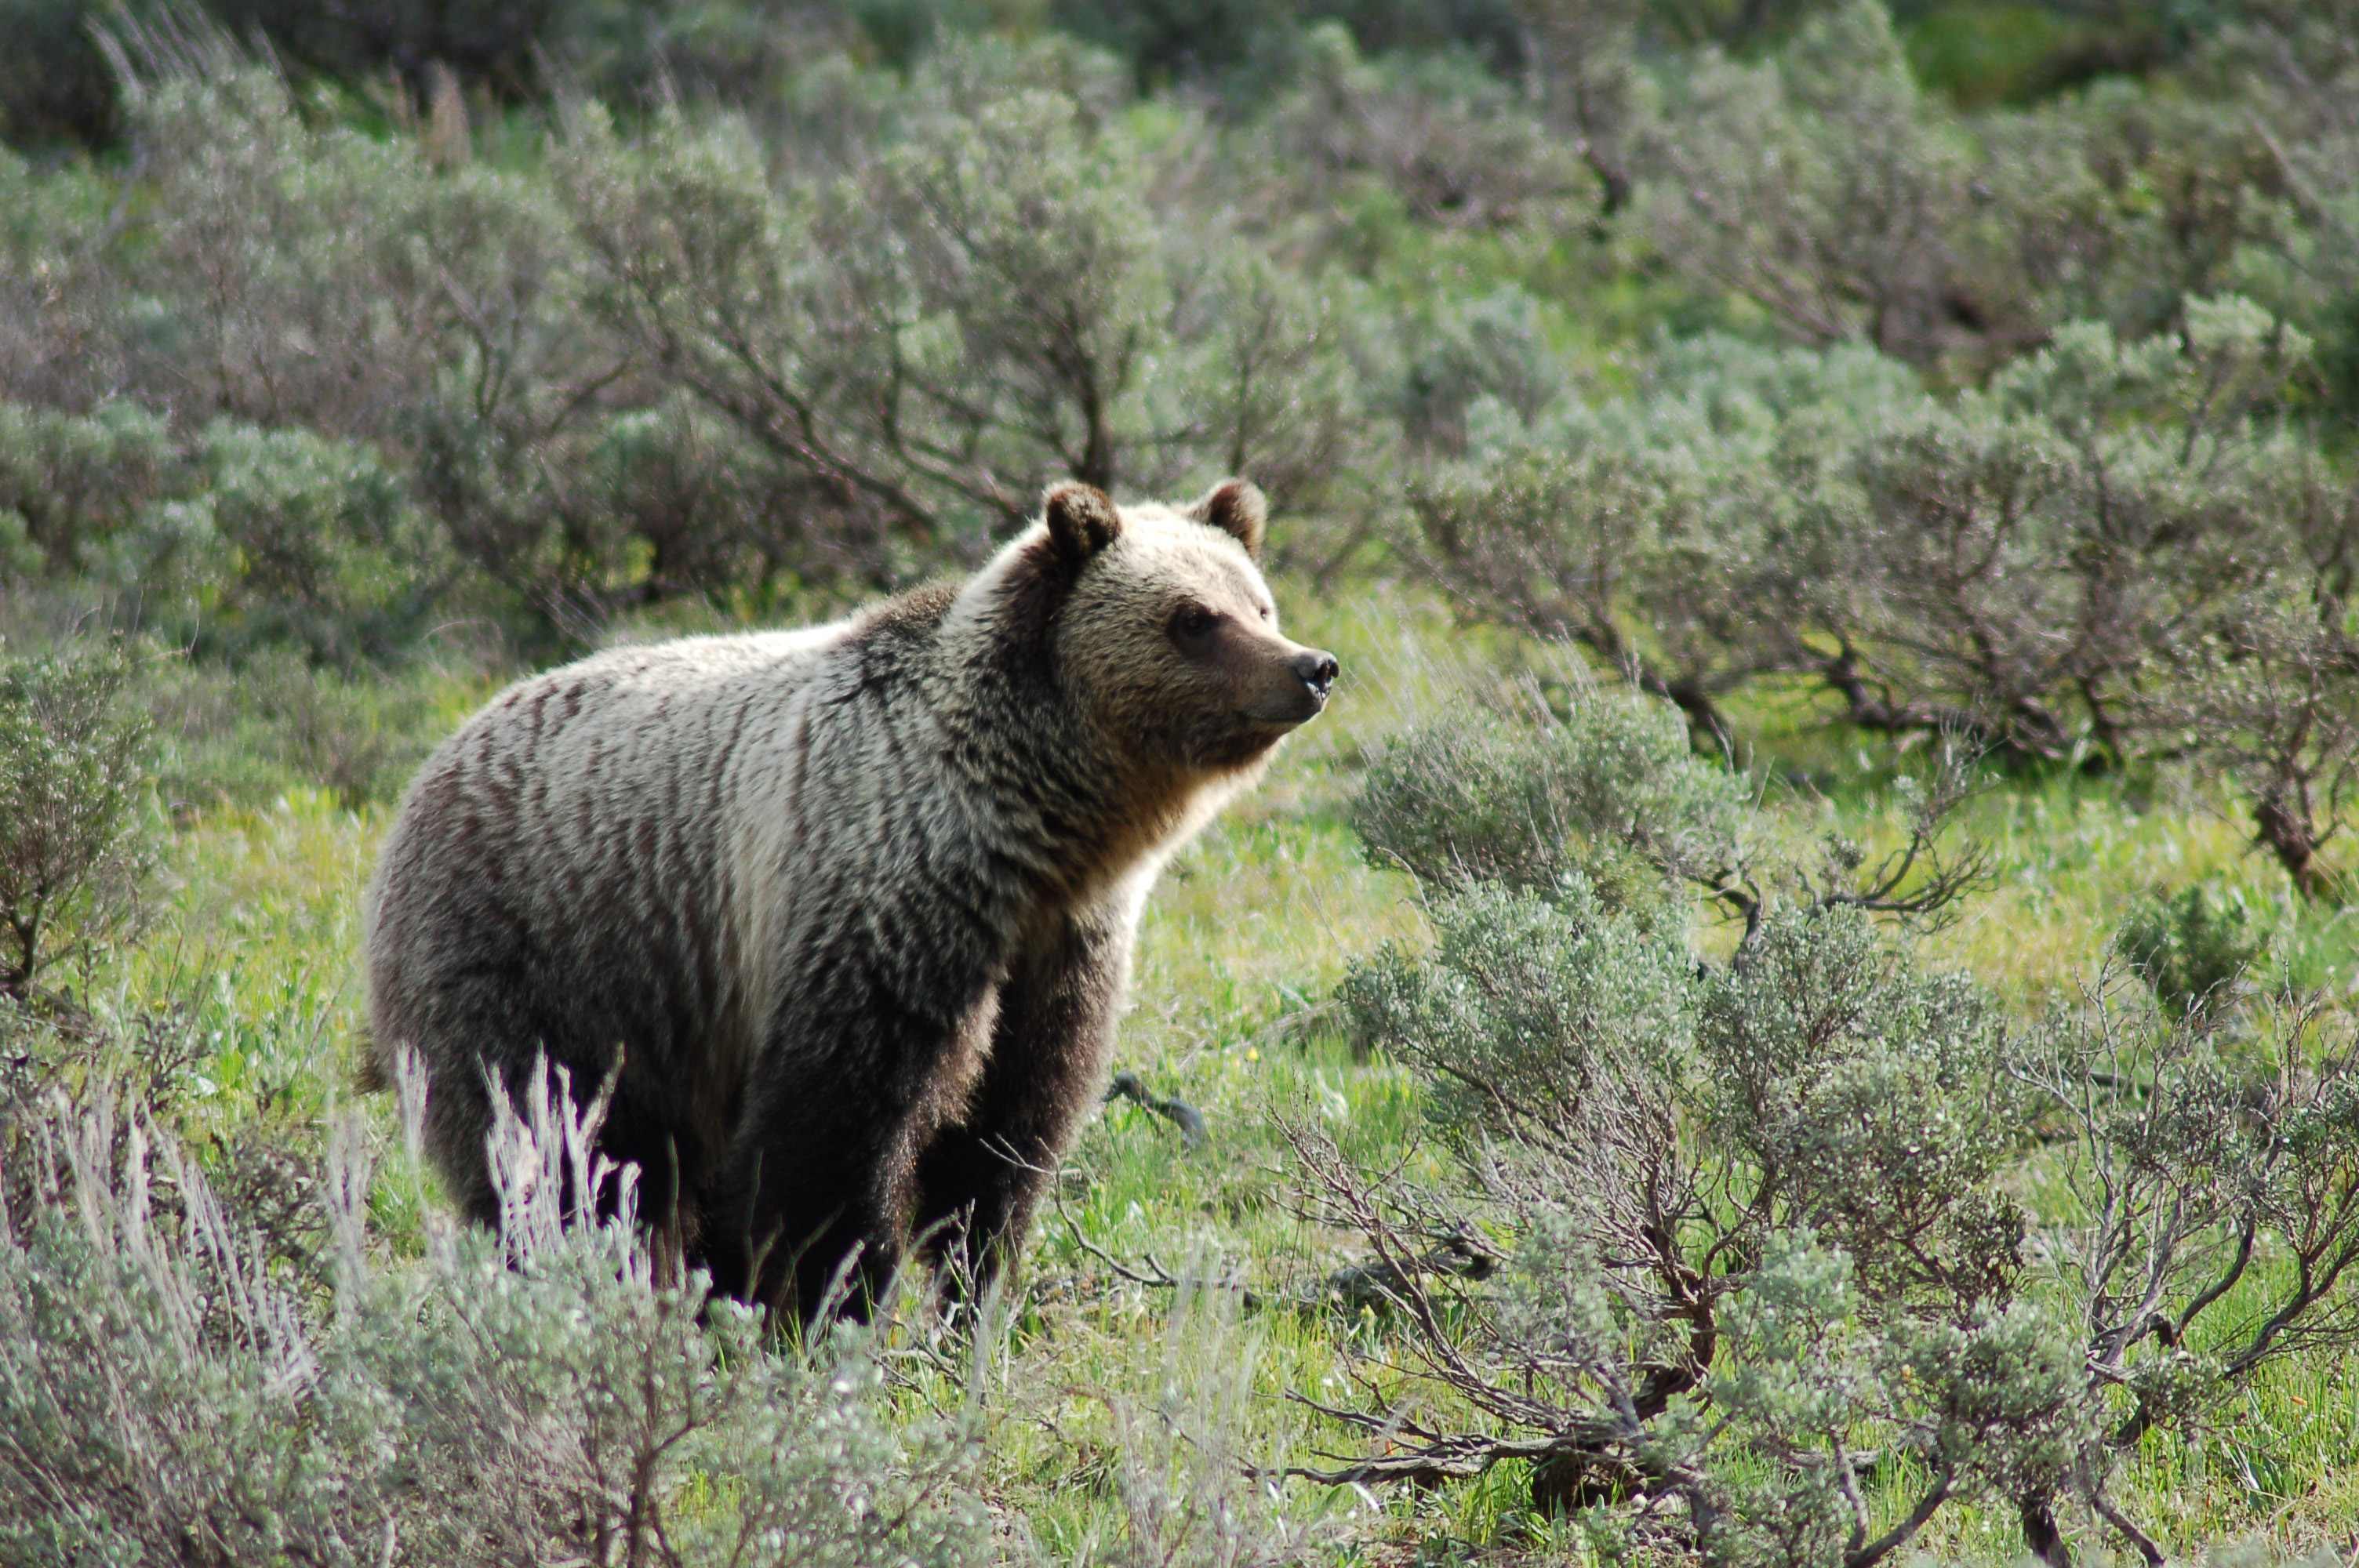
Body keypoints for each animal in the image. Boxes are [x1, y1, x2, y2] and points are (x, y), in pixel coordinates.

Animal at [361, 476, 1339, 1320]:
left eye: (1257, 602)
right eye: (1191, 617)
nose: (1311, 667)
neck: (1036, 830)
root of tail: (432, 762)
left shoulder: (1057, 950)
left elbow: (1008, 1137)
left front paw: (971, 1292)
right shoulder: (878, 897)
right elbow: (836, 1135)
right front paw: (818, 1300)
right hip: (544, 953)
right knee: (555, 1150)